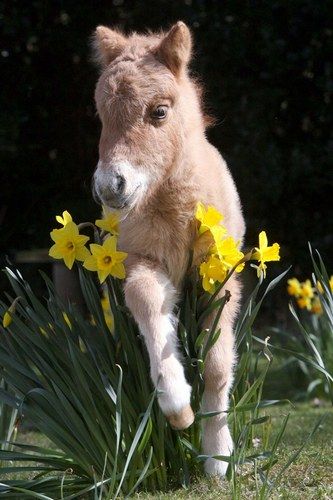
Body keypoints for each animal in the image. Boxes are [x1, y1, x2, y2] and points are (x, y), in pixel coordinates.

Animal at [92, 20, 245, 476]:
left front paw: (217, 456)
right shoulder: (142, 261)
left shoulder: (219, 276)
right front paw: (177, 406)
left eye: (159, 111)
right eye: (101, 115)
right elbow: (146, 303)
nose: (111, 187)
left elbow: (217, 365)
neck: (172, 208)